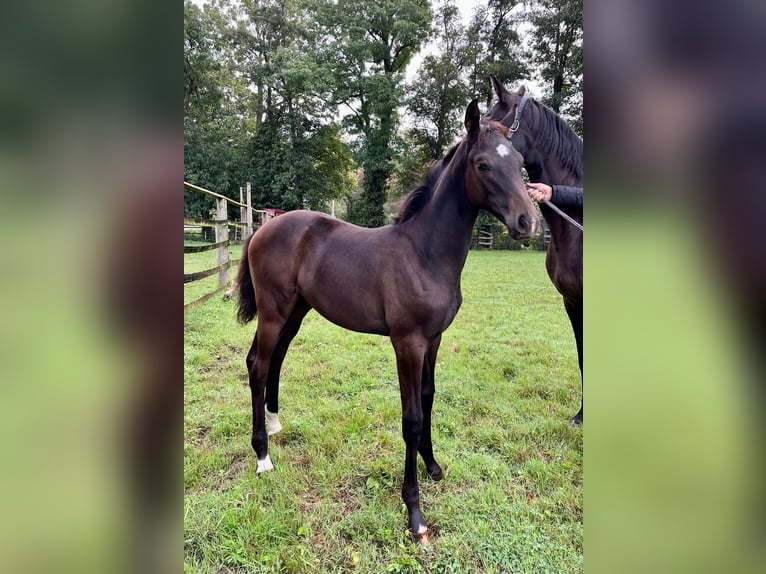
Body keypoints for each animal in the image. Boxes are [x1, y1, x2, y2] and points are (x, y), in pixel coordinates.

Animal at [234, 101, 540, 544]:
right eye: (482, 165)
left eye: (519, 162)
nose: (527, 223)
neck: (424, 254)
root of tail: (263, 228)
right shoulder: (407, 342)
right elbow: (411, 419)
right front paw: (415, 513)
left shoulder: (433, 339)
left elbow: (429, 398)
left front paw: (433, 466)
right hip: (274, 312)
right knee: (257, 365)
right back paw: (262, 456)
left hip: (296, 312)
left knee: (273, 360)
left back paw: (274, 425)